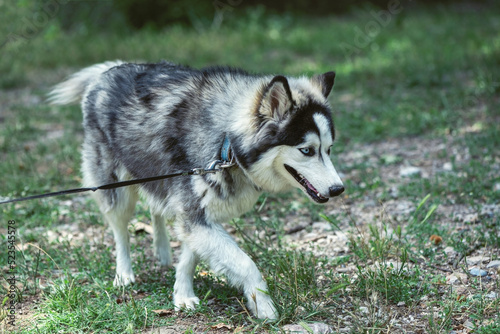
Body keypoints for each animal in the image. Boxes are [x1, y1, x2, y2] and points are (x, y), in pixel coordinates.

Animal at [49, 61, 344, 320]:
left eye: (328, 149)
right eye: (306, 150)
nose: (338, 189)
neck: (227, 142)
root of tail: (106, 71)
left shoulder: (197, 214)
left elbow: (189, 257)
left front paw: (182, 294)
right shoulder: (194, 214)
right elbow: (245, 263)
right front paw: (264, 306)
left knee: (156, 207)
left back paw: (162, 252)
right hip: (115, 189)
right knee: (120, 230)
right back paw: (124, 273)